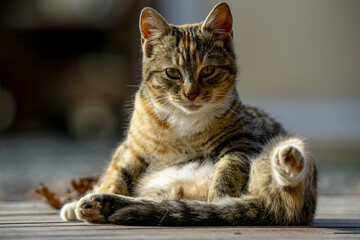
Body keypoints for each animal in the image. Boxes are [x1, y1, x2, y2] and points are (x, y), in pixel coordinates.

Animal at [59, 2, 318, 225]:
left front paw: (220, 198)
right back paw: (96, 205)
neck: (182, 124)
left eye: (208, 70)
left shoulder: (242, 143)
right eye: (172, 73)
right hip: (164, 191)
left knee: (288, 194)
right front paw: (93, 196)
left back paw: (287, 161)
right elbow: (116, 175)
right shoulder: (131, 148)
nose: (191, 93)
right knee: (156, 202)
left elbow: (229, 171)